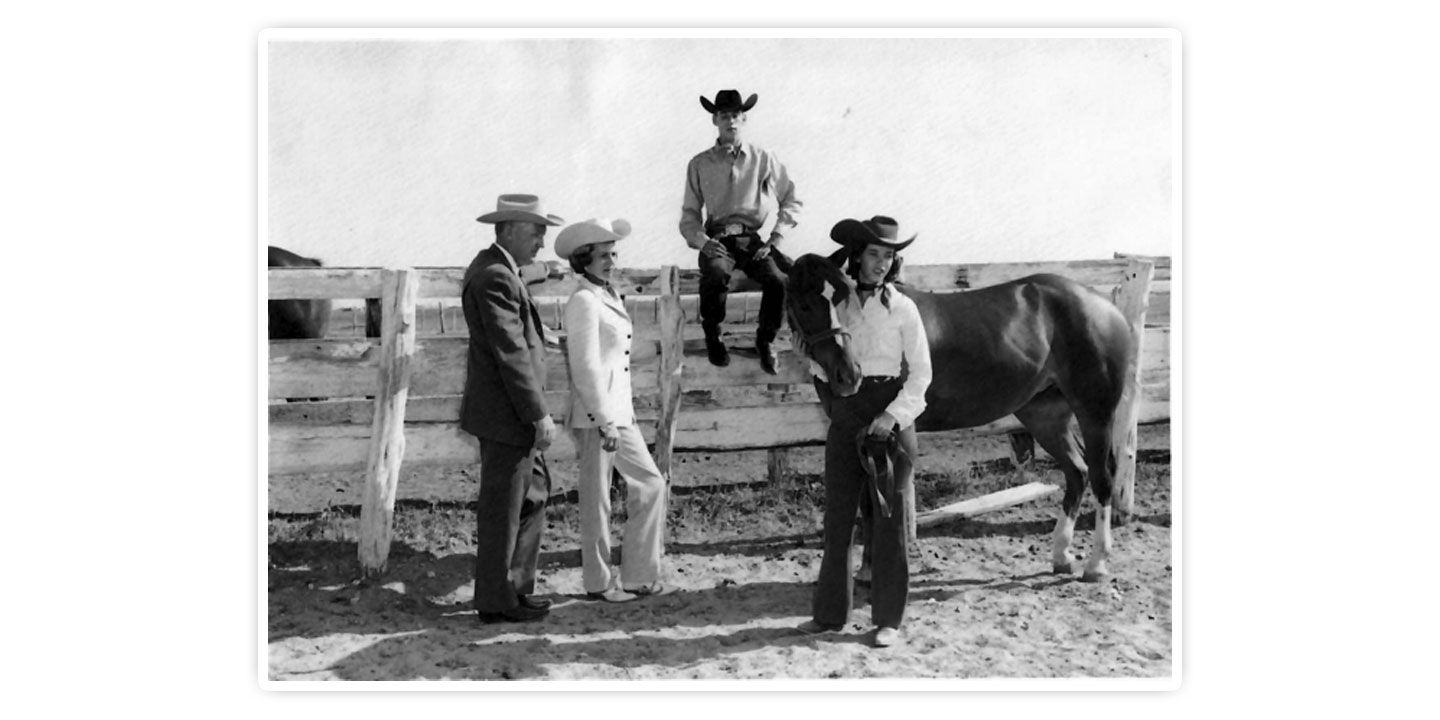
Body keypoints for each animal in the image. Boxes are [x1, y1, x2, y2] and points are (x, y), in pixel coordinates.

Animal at [789, 253, 1134, 578]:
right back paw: (1062, 555)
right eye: (803, 304)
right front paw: (866, 570)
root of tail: (1106, 308)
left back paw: (1096, 564)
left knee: (1102, 477)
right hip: (1046, 417)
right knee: (1077, 472)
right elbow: (866, 502)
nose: (847, 375)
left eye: (841, 299)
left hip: (1095, 413)